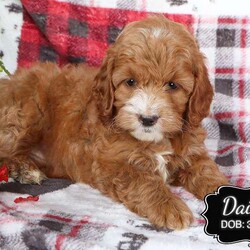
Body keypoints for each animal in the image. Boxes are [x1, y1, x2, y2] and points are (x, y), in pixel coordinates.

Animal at [0, 16, 228, 230]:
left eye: (172, 85)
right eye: (130, 82)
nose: (147, 119)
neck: (155, 140)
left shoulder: (192, 152)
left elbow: (207, 170)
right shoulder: (111, 164)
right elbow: (143, 180)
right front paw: (168, 205)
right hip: (25, 115)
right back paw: (24, 170)